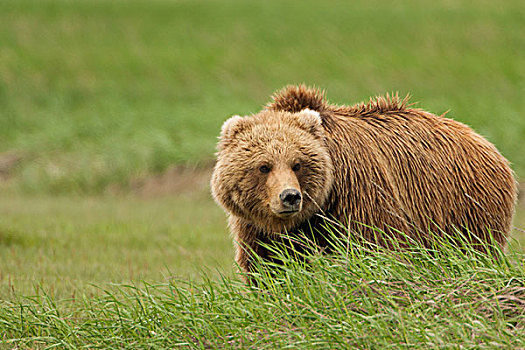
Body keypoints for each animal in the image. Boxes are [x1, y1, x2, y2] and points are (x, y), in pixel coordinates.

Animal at [209, 85, 516, 274]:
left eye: (297, 164)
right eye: (264, 166)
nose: (290, 197)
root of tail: (488, 145)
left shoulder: (360, 191)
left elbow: (376, 245)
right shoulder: (256, 225)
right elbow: (268, 264)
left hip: (465, 207)